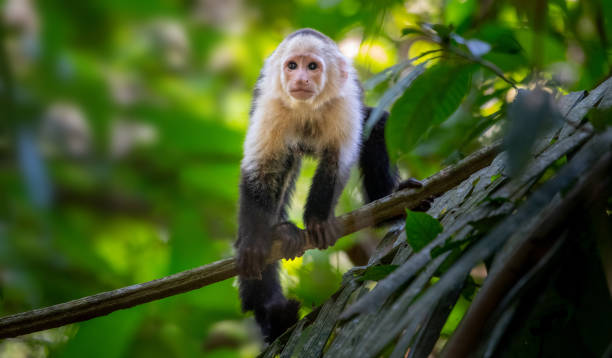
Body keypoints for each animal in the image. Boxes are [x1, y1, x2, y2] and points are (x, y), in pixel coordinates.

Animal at [235, 28, 426, 342]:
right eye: (292, 66)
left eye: (312, 66)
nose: (301, 79)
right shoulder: (271, 105)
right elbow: (260, 169)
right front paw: (254, 242)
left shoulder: (344, 102)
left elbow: (336, 162)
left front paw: (317, 221)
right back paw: (278, 236)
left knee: (375, 125)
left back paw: (391, 207)